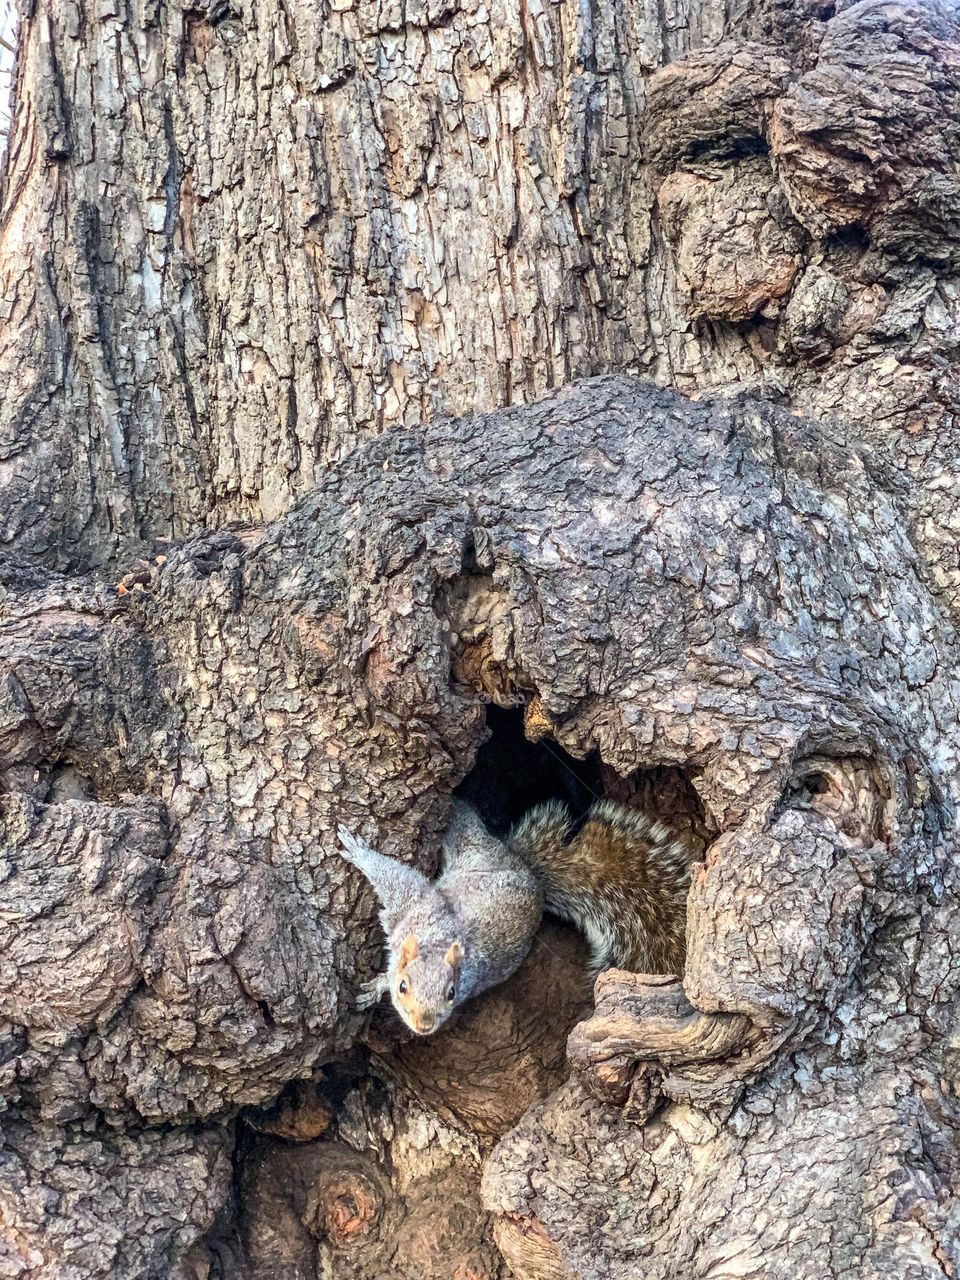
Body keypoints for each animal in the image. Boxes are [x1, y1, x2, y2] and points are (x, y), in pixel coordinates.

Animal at [336, 796, 694, 1036]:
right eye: (403, 987)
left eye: (452, 994)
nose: (424, 1026)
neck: (435, 943)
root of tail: (527, 870)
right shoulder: (414, 907)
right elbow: (394, 877)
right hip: (474, 849)